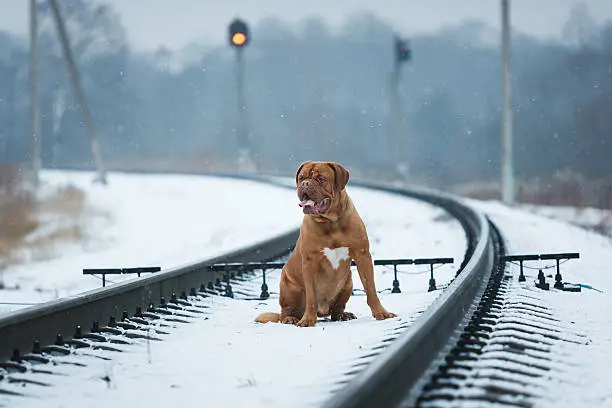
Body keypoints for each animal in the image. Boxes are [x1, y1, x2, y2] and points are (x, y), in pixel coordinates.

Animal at [255, 161, 394, 326]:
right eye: (301, 177)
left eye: (321, 178)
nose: (305, 183)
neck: (330, 222)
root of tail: (324, 311)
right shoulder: (309, 262)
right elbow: (311, 297)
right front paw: (308, 320)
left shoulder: (362, 255)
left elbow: (371, 289)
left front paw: (381, 313)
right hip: (289, 288)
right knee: (286, 311)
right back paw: (291, 318)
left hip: (348, 282)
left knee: (337, 310)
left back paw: (343, 315)